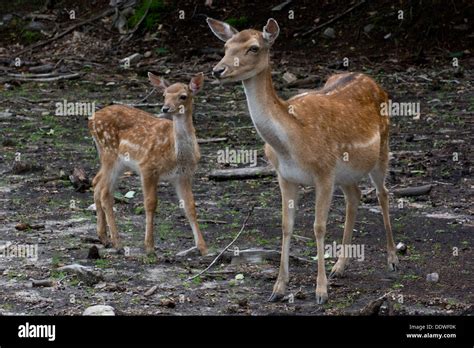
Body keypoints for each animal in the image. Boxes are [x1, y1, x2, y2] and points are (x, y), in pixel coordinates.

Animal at [89, 72, 207, 256]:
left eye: (183, 96)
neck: (176, 154)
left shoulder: (183, 175)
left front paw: (203, 247)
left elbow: (190, 207)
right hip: (109, 152)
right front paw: (149, 246)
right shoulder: (147, 167)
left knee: (97, 182)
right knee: (105, 192)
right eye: (164, 95)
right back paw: (117, 243)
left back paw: (104, 237)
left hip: (115, 161)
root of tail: (91, 120)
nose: (165, 108)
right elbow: (151, 204)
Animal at [209, 17, 398, 304]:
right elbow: (286, 226)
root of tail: (376, 82)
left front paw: (321, 291)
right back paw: (339, 266)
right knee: (355, 197)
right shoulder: (285, 176)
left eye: (253, 47)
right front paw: (278, 288)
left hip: (382, 149)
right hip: (347, 172)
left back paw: (392, 259)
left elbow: (318, 226)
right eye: (226, 46)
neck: (290, 144)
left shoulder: (324, 173)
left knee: (383, 193)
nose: (218, 70)